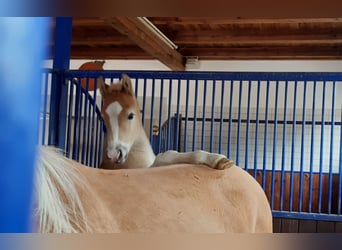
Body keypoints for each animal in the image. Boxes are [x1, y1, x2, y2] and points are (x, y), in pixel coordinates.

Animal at [32, 73, 272, 232]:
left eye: (130, 115)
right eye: (104, 116)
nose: (114, 154)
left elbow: (168, 155)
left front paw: (214, 158)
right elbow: (167, 155)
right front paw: (214, 158)